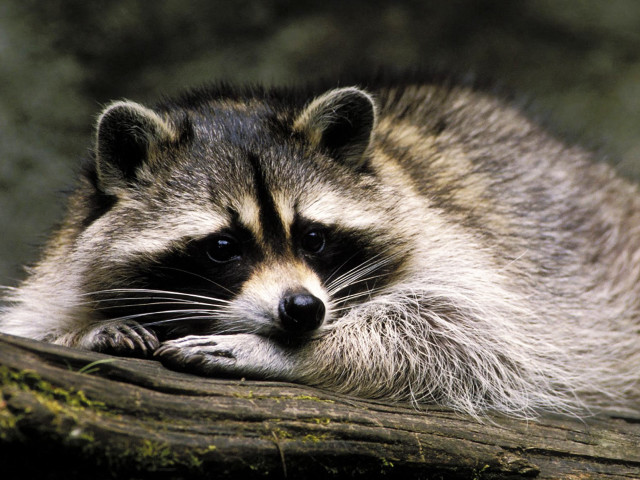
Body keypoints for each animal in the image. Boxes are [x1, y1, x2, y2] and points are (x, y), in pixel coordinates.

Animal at [1, 78, 639, 419]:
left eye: (313, 237)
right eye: (223, 247)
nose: (303, 311)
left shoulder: (456, 245)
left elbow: (463, 337)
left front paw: (284, 352)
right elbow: (32, 323)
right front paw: (86, 330)